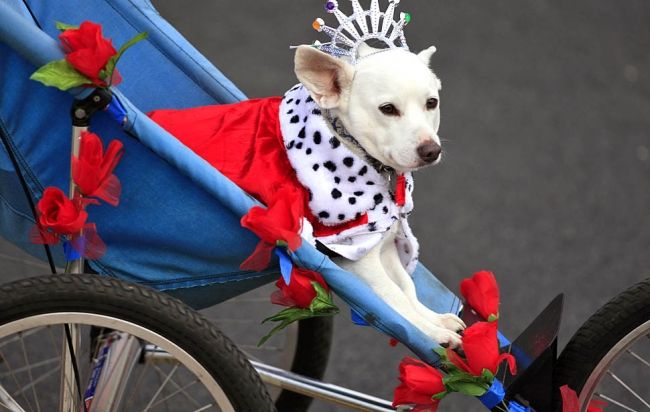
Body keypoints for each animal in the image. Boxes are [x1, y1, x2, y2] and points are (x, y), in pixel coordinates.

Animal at [292, 44, 464, 348]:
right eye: (387, 109)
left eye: (432, 103)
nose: (431, 150)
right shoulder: (361, 264)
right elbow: (395, 299)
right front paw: (431, 333)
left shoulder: (385, 250)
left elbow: (406, 289)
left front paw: (434, 320)